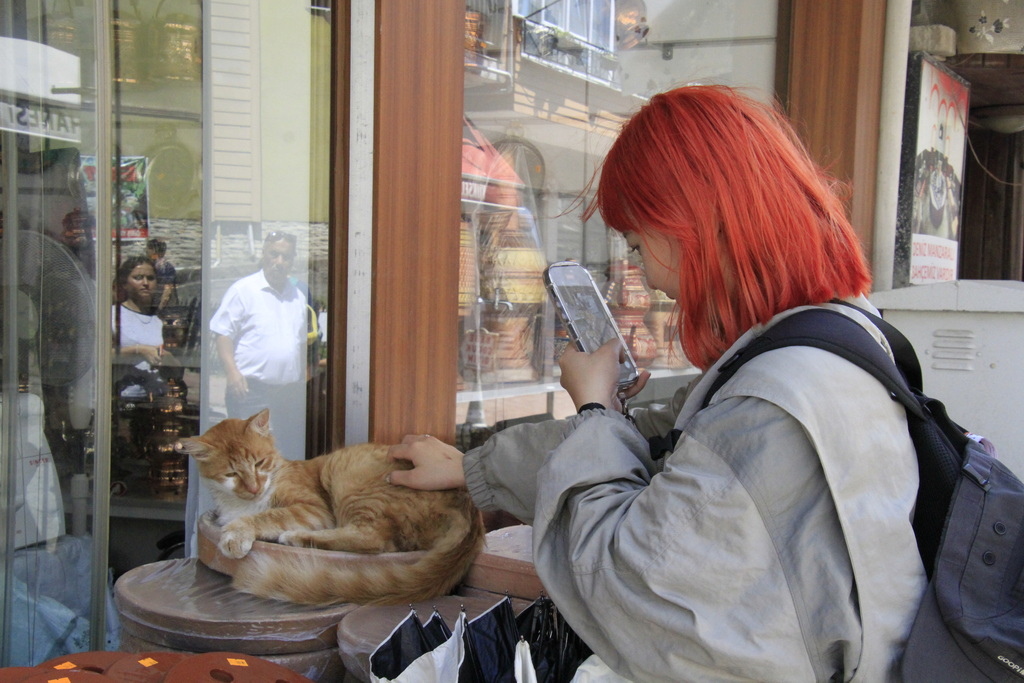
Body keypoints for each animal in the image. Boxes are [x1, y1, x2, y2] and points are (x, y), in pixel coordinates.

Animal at [174, 409, 485, 606]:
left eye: (260, 463)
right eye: (231, 474)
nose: (253, 488)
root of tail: (470, 506)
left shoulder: (313, 509)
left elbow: (267, 516)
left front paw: (237, 533)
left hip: (347, 477)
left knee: (373, 539)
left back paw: (296, 538)